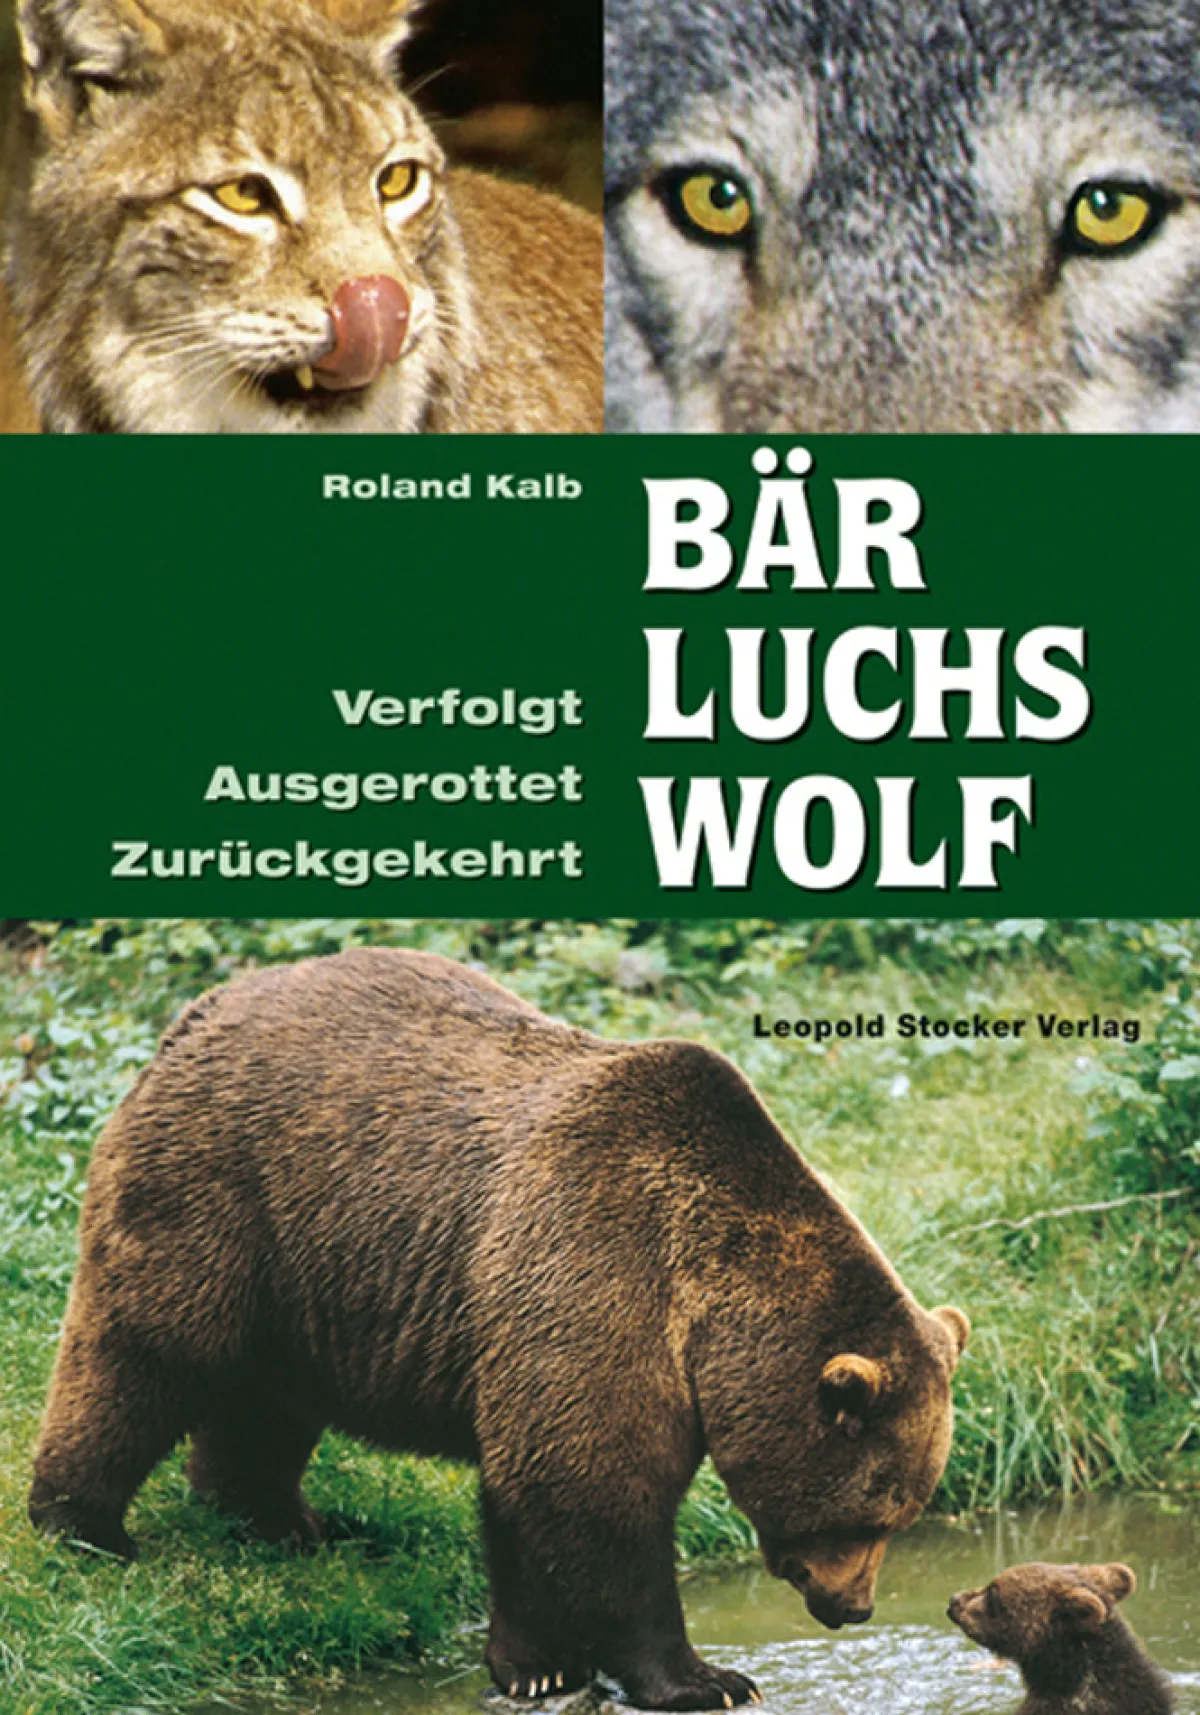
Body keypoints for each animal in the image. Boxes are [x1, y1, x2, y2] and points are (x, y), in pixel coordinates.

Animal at [30, 947, 969, 1711]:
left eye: (904, 1510)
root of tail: (202, 1010)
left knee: (266, 1402)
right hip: (223, 1191)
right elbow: (591, 1495)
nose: (853, 1605)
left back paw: (290, 1521)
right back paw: (84, 1524)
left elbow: (533, 1496)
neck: (705, 1314)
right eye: (873, 1512)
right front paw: (705, 1676)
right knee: (141, 1353)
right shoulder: (602, 1268)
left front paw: (537, 1662)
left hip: (303, 1274)